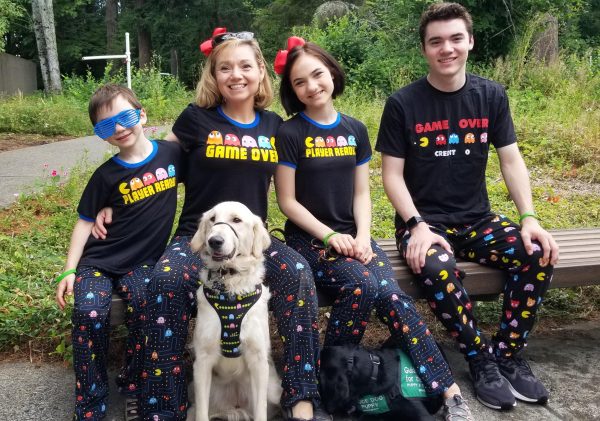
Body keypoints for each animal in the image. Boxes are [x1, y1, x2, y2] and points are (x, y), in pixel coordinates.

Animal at [189, 202, 282, 418]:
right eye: (212, 219)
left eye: (237, 220)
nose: (214, 241)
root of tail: (235, 404)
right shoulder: (202, 362)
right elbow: (201, 415)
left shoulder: (259, 361)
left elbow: (260, 412)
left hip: (273, 390)